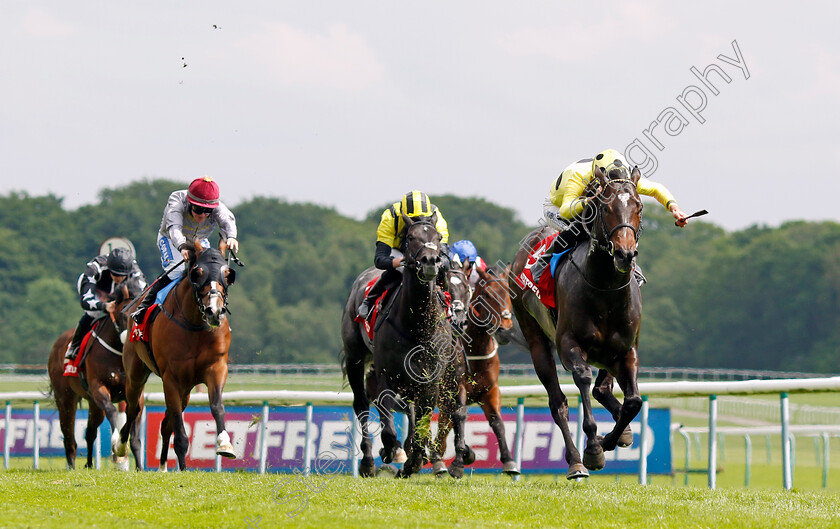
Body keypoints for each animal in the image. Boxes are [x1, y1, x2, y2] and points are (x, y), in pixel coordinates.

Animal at [47, 274, 144, 468]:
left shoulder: (137, 394)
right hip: (66, 398)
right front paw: (116, 442)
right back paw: (71, 466)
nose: (129, 339)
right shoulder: (98, 387)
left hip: (93, 404)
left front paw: (140, 467)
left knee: (90, 431)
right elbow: (113, 411)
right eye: (123, 315)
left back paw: (90, 464)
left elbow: (135, 438)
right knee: (69, 437)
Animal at [113, 239, 238, 470]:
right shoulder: (171, 378)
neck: (195, 325)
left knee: (165, 422)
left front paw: (225, 443)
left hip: (186, 389)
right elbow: (179, 433)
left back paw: (162, 466)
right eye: (198, 272)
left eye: (228, 274)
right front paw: (184, 468)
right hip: (136, 375)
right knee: (133, 409)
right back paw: (120, 445)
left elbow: (216, 405)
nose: (214, 312)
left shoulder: (216, 368)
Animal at [342, 214, 472, 478]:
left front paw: (417, 460)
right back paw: (369, 461)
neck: (416, 326)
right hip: (355, 357)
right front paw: (393, 451)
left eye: (438, 237)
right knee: (362, 404)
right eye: (411, 237)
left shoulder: (434, 380)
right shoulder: (385, 375)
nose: (430, 261)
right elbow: (388, 424)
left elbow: (428, 420)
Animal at [434, 264, 520, 474]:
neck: (475, 348)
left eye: (508, 292)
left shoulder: (490, 390)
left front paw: (508, 460)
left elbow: (497, 421)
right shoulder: (457, 388)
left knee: (444, 426)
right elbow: (460, 416)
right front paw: (458, 461)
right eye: (488, 295)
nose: (505, 328)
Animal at [506, 166, 644, 478]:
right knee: (558, 403)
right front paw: (593, 449)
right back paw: (576, 462)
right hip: (536, 339)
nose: (625, 254)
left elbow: (633, 401)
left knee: (602, 389)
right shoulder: (569, 345)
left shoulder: (627, 350)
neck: (605, 287)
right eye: (606, 207)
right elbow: (582, 379)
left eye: (638, 206)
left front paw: (610, 438)